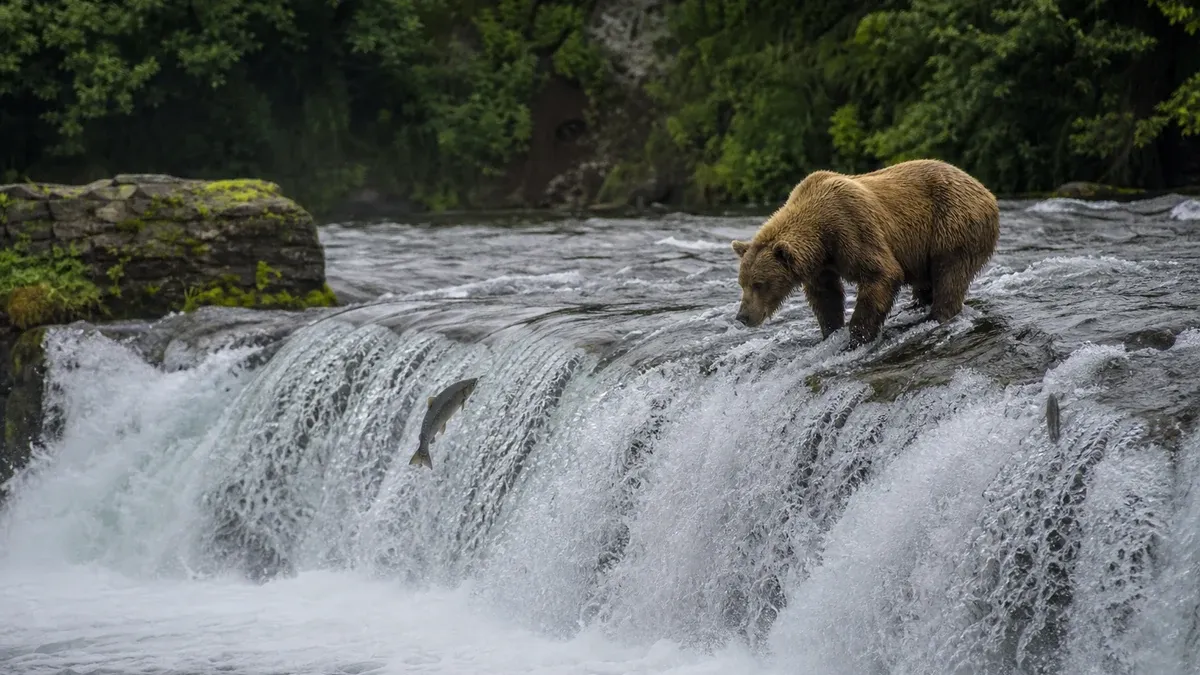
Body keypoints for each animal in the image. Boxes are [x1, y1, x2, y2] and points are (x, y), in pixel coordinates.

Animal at [730, 158, 1000, 349]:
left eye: (759, 283)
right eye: (742, 283)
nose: (742, 316)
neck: (820, 236)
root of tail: (986, 191)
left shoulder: (850, 227)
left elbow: (881, 274)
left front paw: (857, 337)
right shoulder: (821, 265)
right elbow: (825, 296)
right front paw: (830, 331)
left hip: (952, 225)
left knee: (950, 273)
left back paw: (934, 316)